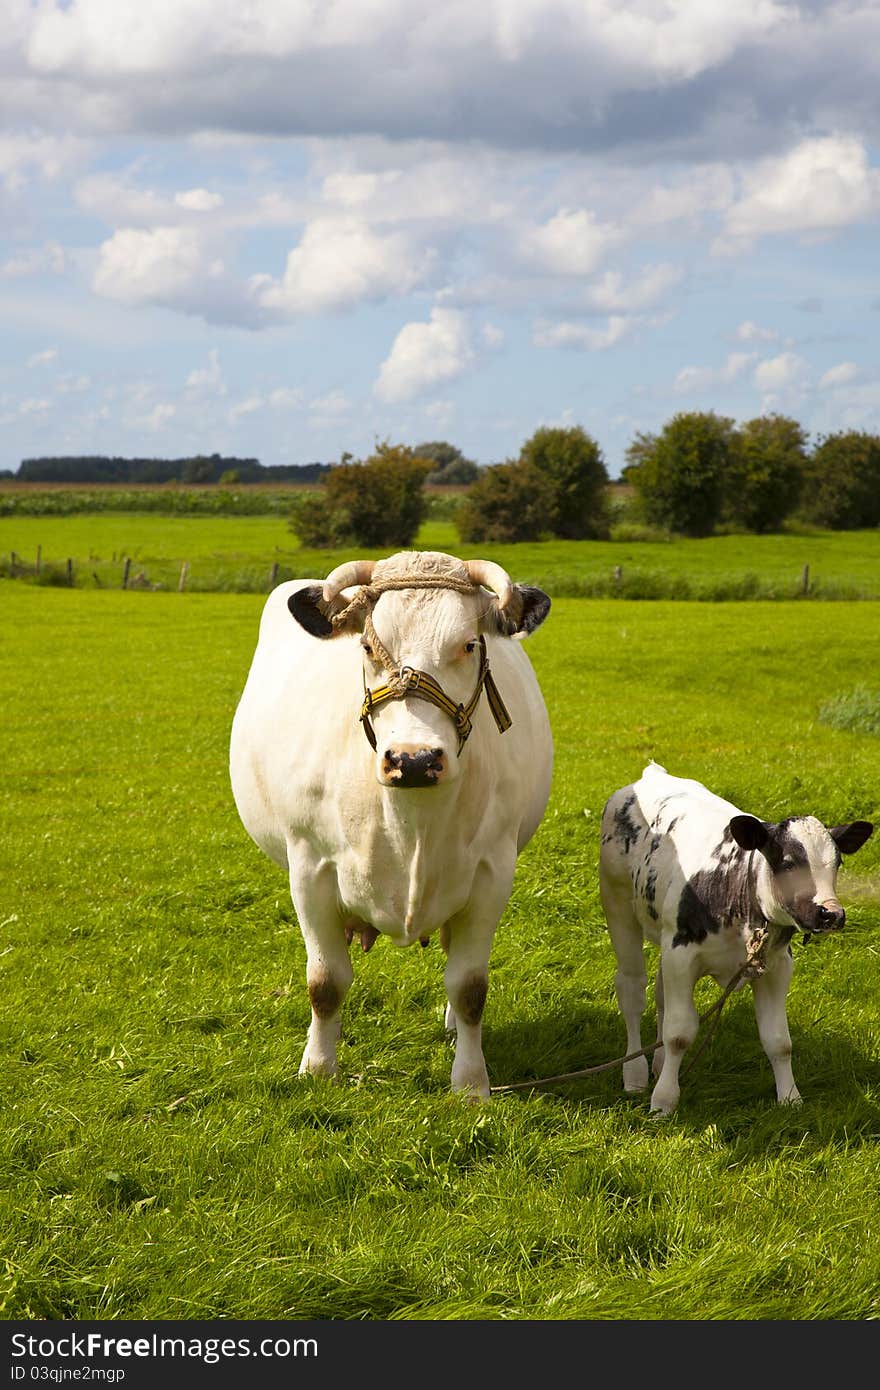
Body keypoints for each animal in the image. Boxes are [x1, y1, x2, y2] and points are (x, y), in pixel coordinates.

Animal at [229, 547, 553, 1100]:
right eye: (366, 645)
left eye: (470, 644)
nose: (415, 759)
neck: (411, 824)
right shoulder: (309, 870)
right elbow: (325, 981)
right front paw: (319, 1067)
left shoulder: (493, 874)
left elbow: (470, 986)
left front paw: (471, 1082)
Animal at [597, 761, 873, 1117]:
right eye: (787, 863)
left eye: (837, 863)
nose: (832, 913)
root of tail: (652, 775)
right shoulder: (682, 956)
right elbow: (679, 1034)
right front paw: (663, 1102)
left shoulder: (775, 966)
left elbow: (779, 1041)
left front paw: (790, 1098)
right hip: (618, 905)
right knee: (632, 991)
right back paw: (635, 1074)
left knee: (659, 995)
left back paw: (657, 1064)